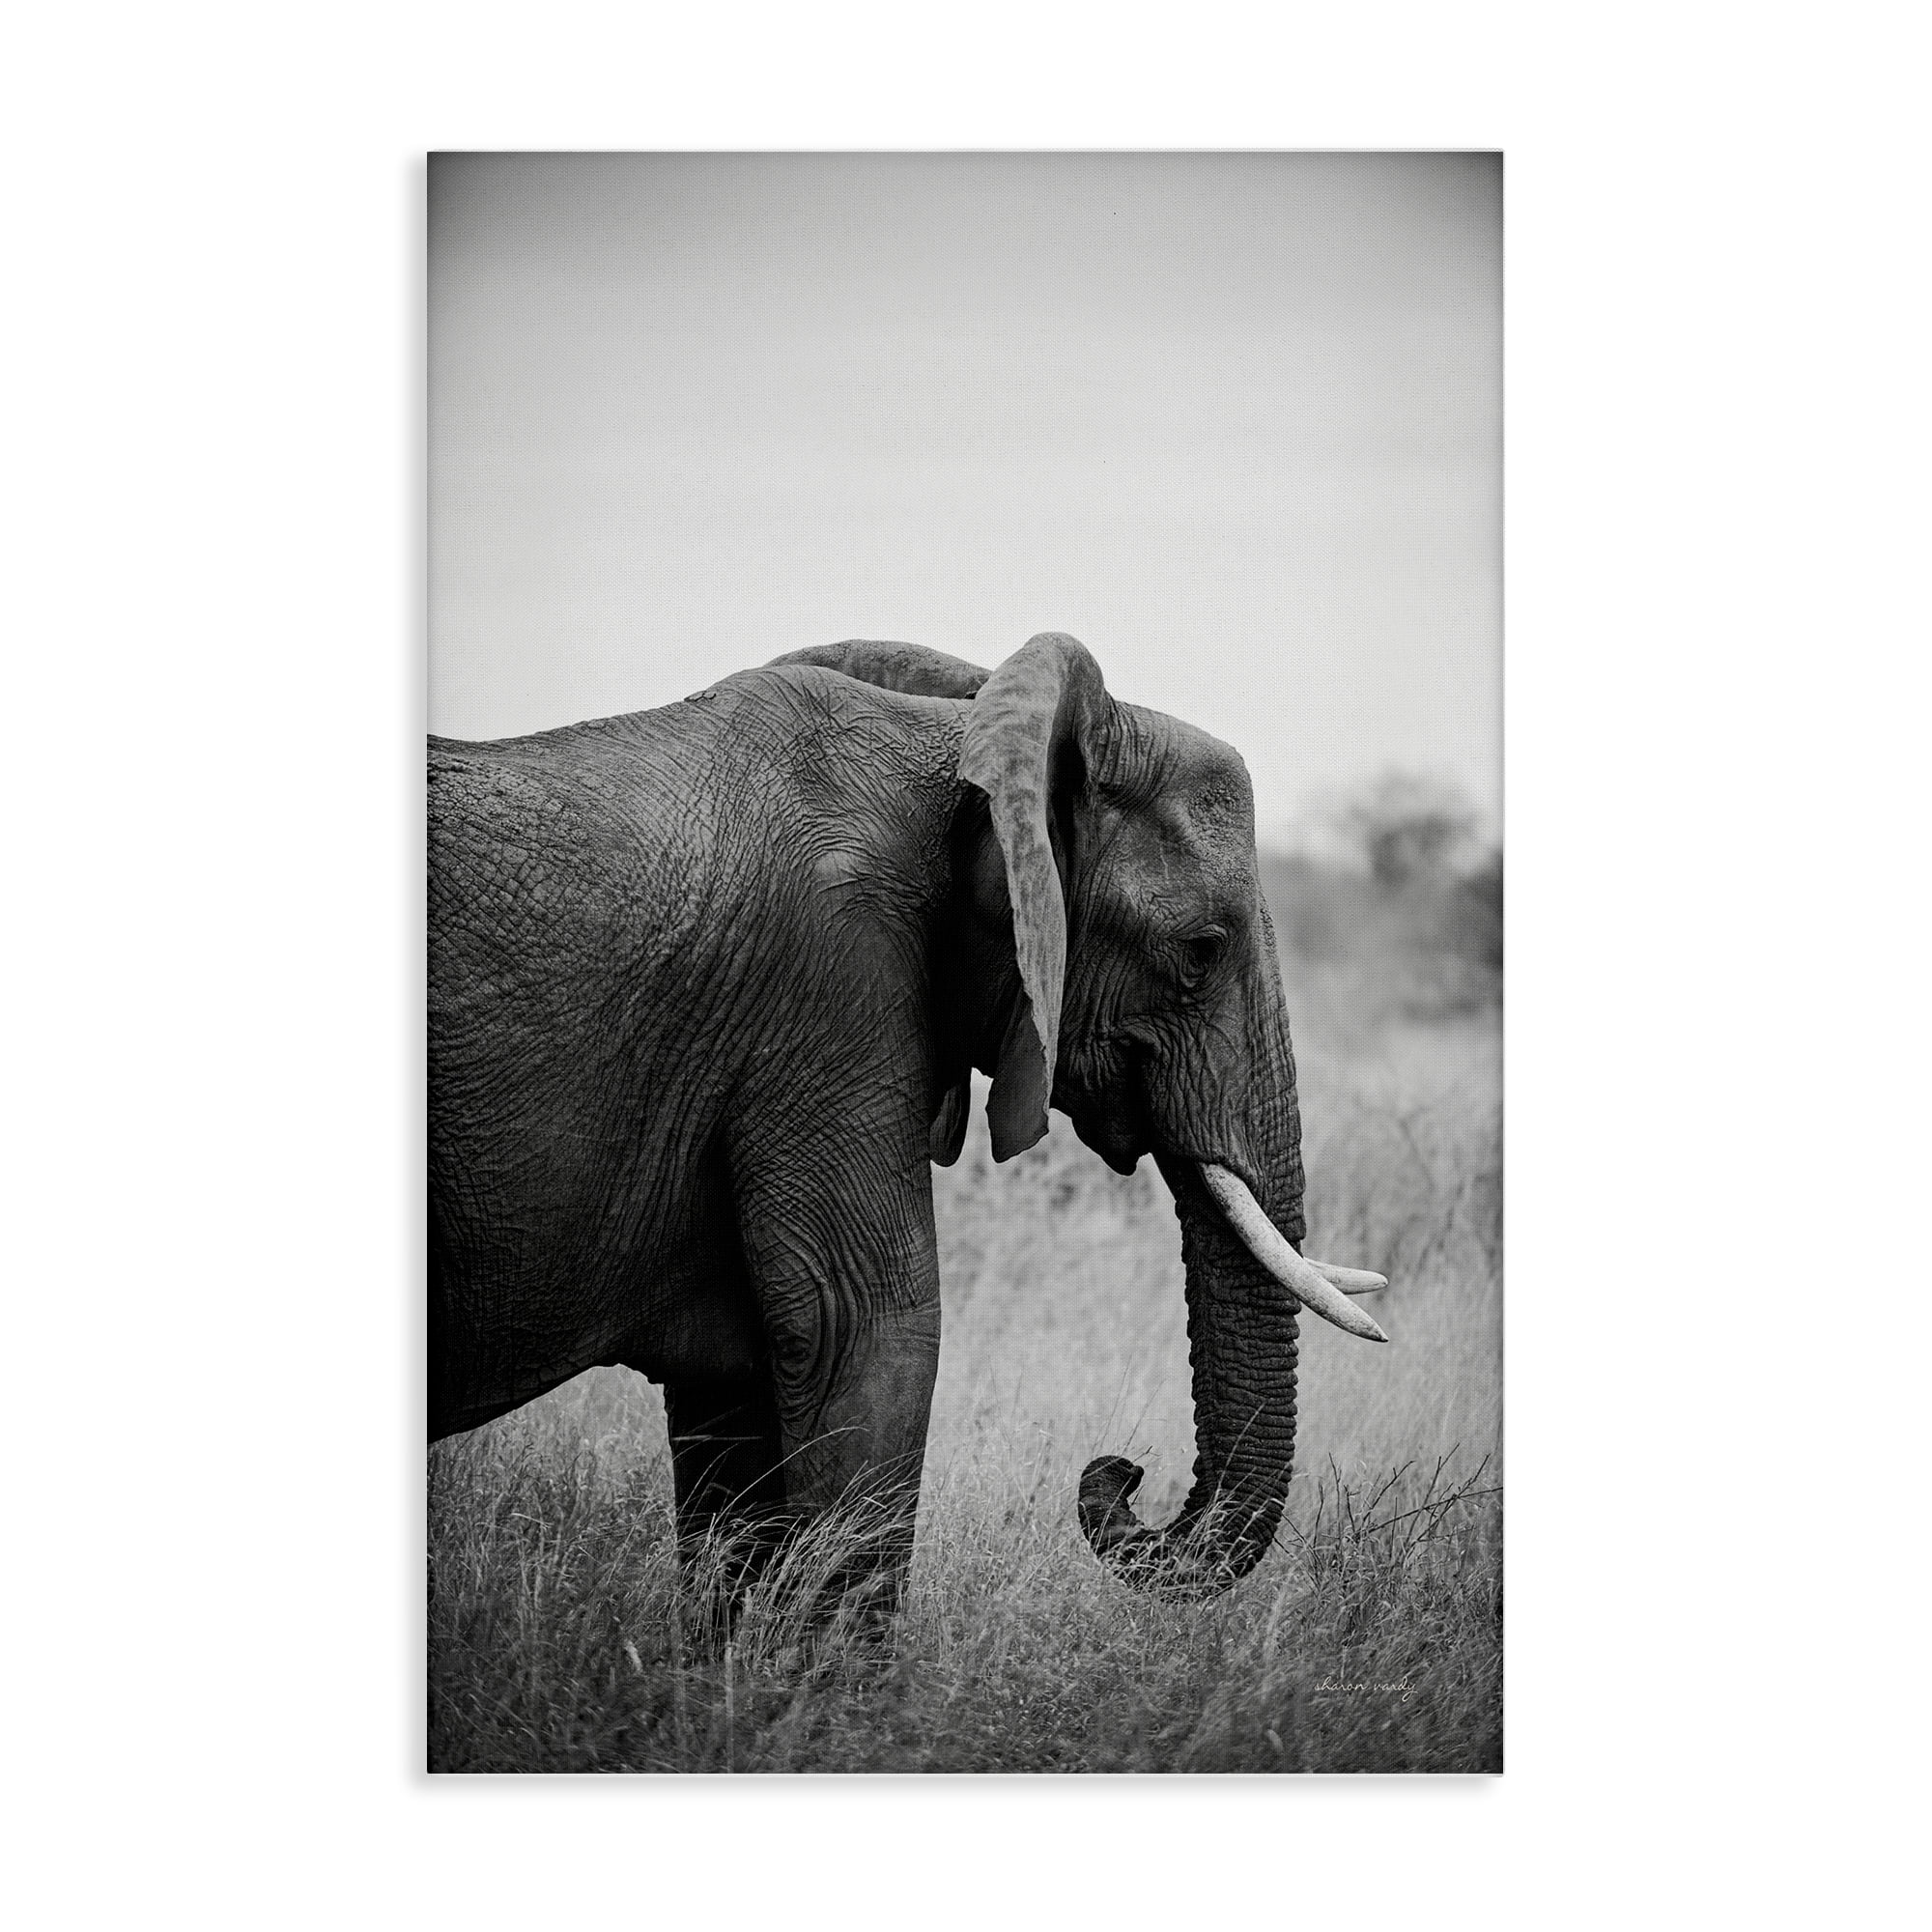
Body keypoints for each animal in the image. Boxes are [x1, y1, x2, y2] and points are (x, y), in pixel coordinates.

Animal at [428, 631, 1388, 1604]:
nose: (1121, 1472)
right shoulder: (828, 987)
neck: (959, 752)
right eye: (1200, 951)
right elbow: (863, 1331)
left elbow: (738, 1387)